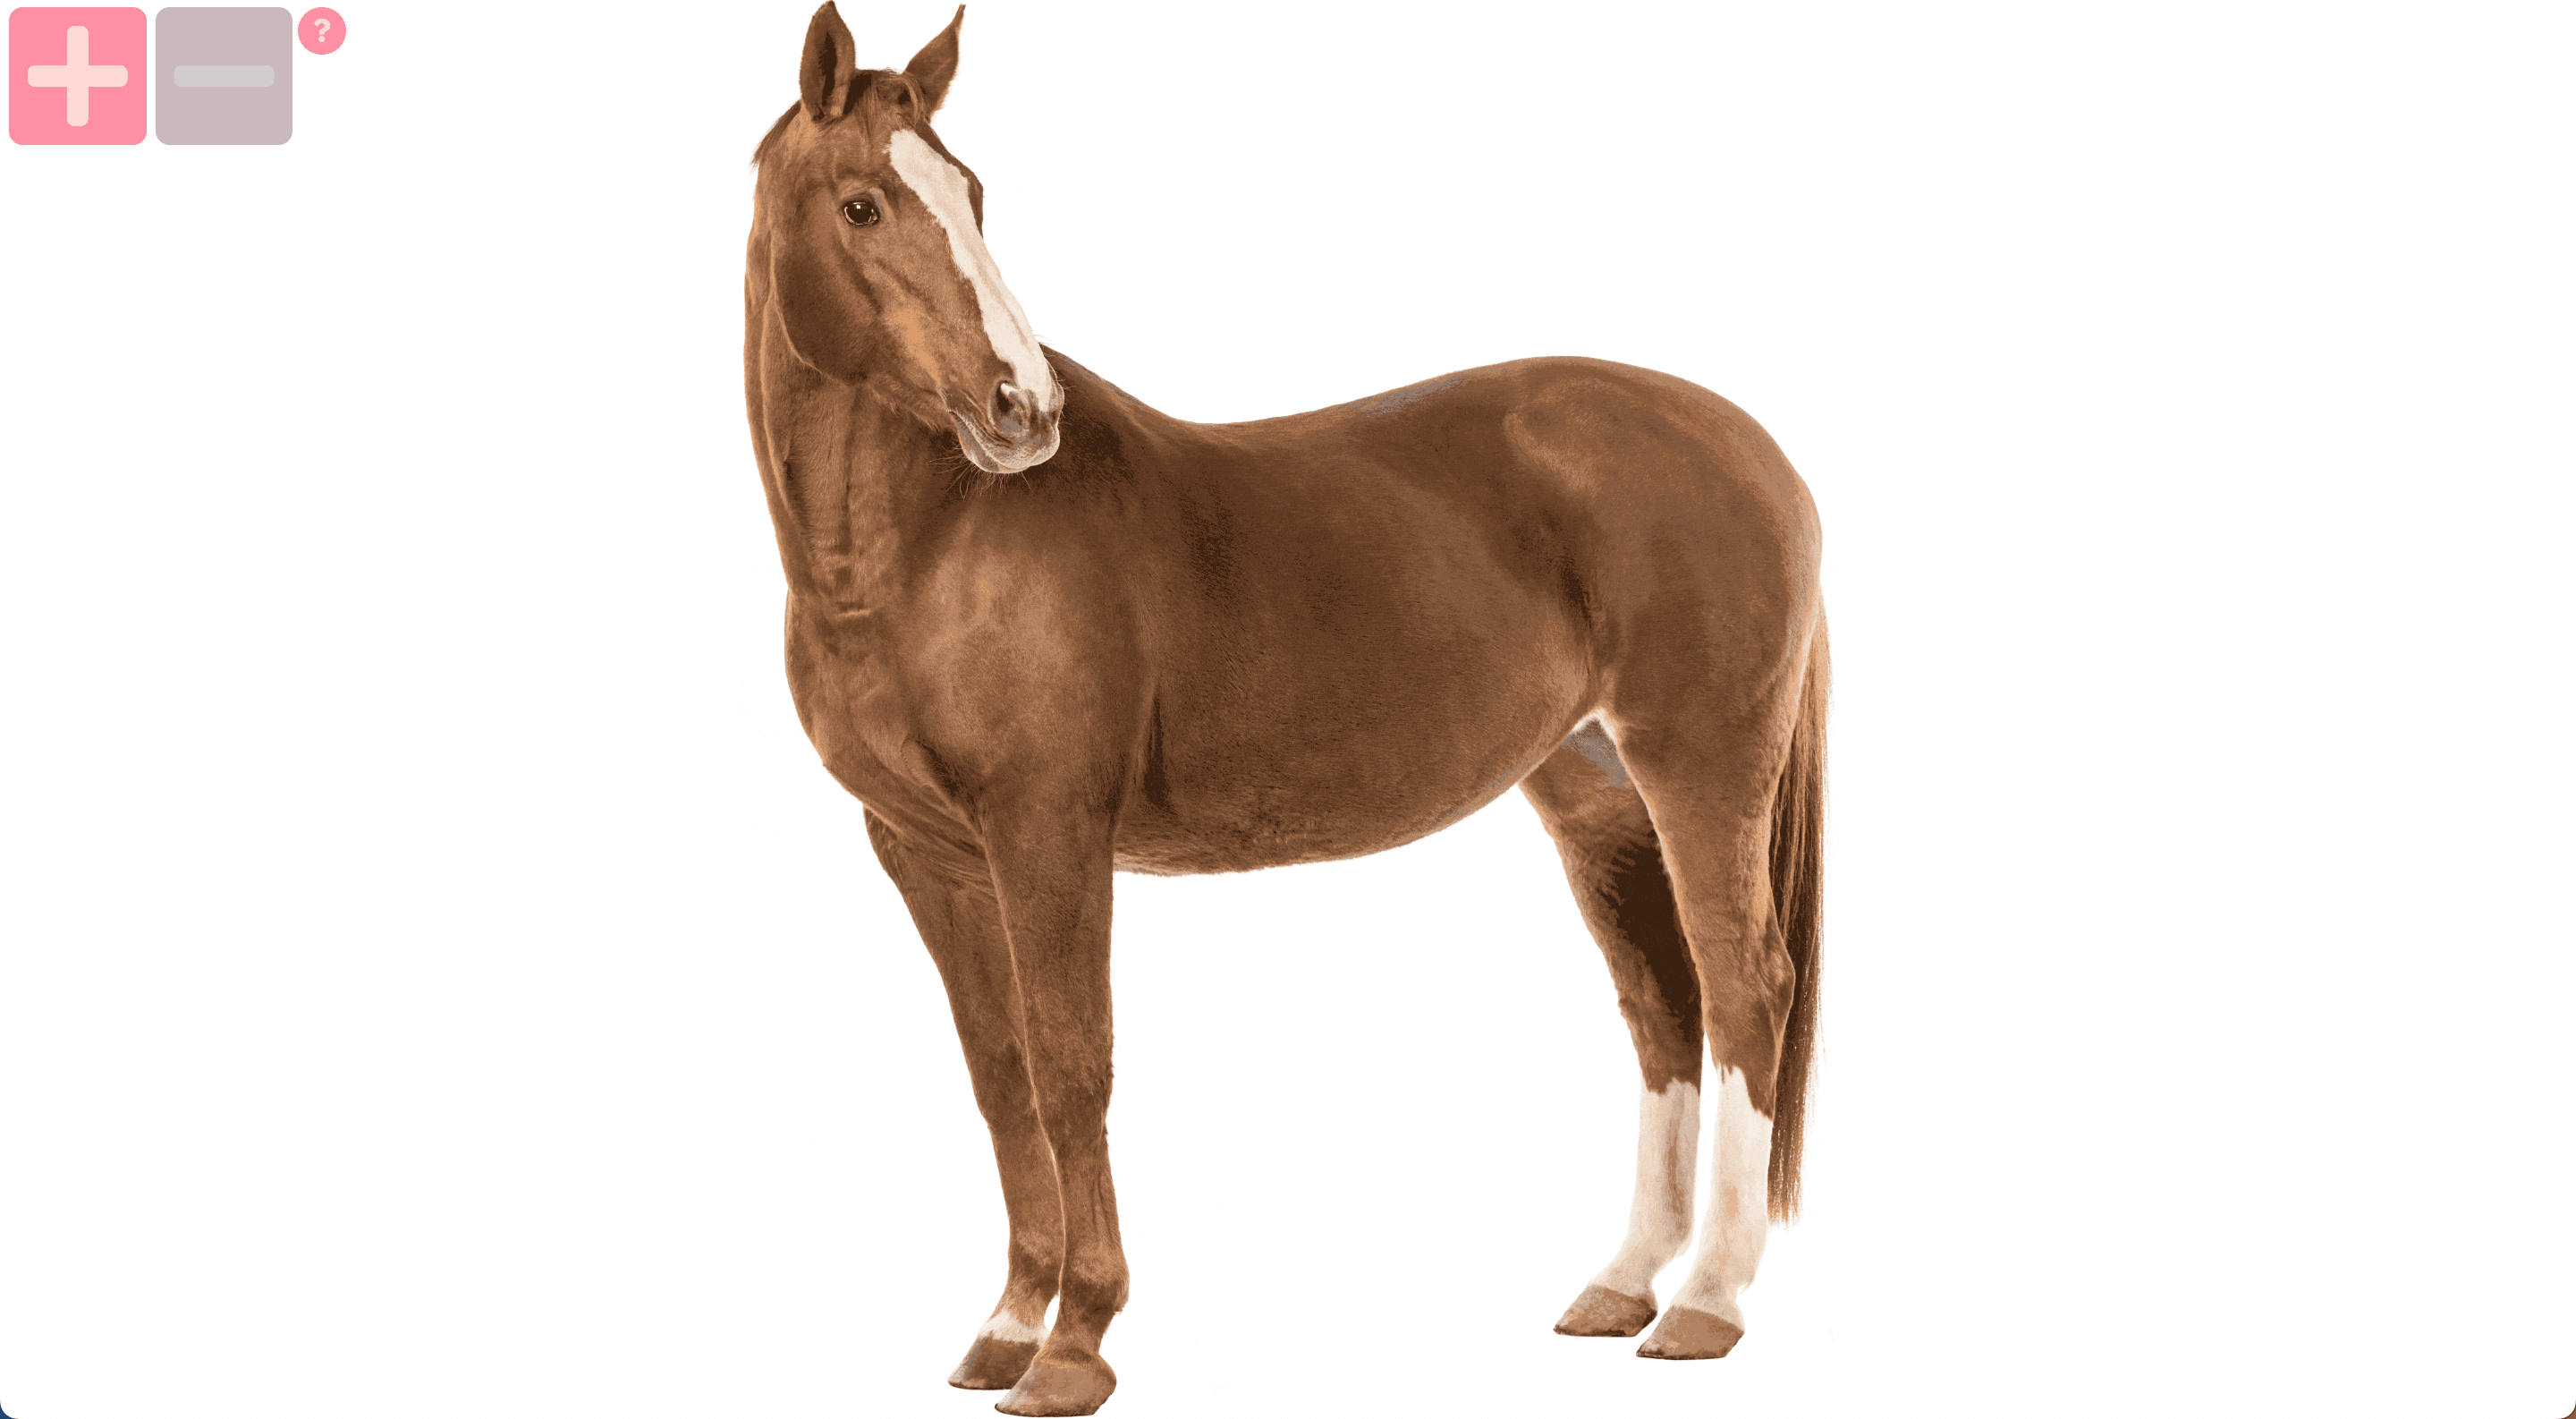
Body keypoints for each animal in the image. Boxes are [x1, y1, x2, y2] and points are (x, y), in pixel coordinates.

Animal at [743, 6, 1827, 1414]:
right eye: (865, 204)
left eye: (973, 195)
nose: (1021, 409)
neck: (930, 543)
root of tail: (1755, 449)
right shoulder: (926, 852)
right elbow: (1000, 1075)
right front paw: (1008, 1322)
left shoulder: (1048, 833)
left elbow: (1072, 1063)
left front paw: (1076, 1343)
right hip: (1596, 792)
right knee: (1662, 1006)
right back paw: (1622, 1284)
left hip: (1702, 768)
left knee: (1746, 985)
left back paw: (1704, 1303)